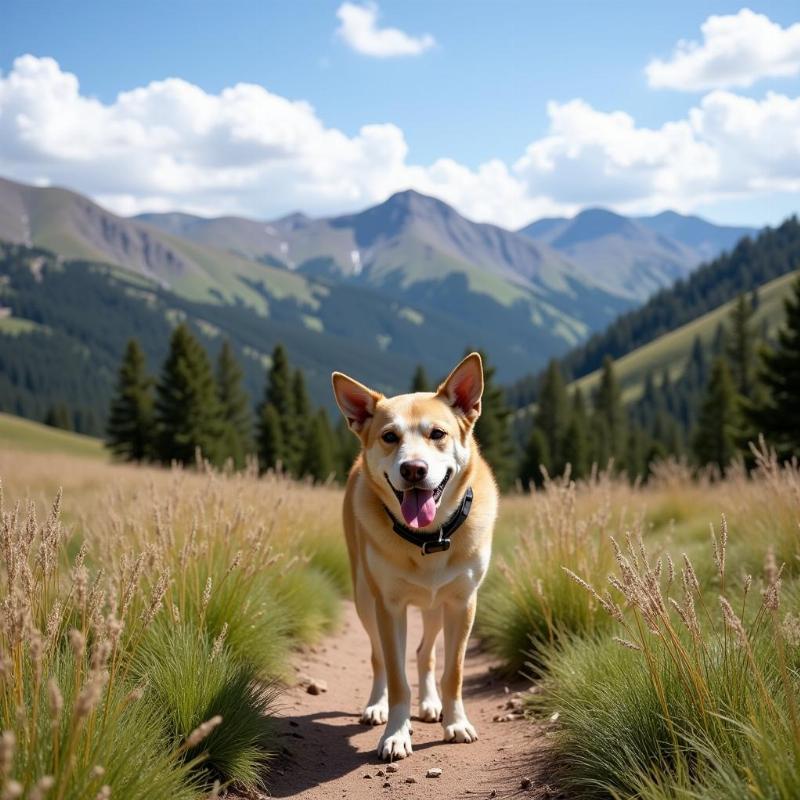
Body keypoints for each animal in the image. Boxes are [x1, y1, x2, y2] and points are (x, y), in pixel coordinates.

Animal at [330, 354, 494, 760]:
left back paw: (432, 704)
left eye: (437, 433)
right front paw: (395, 734)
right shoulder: (389, 607)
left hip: (435, 608)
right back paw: (376, 705)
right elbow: (395, 675)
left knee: (424, 652)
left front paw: (456, 723)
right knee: (378, 659)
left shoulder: (462, 603)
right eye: (390, 436)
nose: (414, 469)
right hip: (364, 599)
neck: (428, 538)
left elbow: (453, 672)